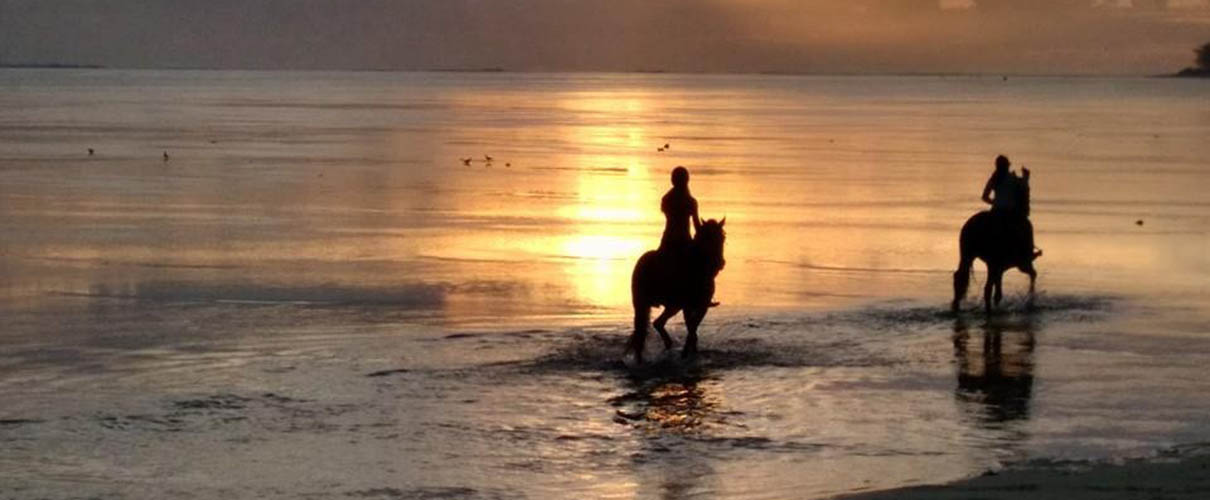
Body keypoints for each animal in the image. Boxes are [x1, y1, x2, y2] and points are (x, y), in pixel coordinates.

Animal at [629, 216, 721, 360]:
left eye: (722, 238)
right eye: (707, 238)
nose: (720, 263)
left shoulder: (699, 306)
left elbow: (692, 328)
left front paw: (690, 351)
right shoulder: (693, 306)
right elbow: (692, 328)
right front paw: (686, 353)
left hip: (667, 306)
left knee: (654, 324)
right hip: (652, 304)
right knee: (646, 328)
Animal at [953, 171, 1040, 312]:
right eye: (1027, 188)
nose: (1028, 209)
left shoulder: (1000, 267)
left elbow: (998, 292)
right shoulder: (1021, 263)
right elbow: (1032, 275)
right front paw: (1030, 298)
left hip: (967, 255)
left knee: (960, 277)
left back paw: (956, 306)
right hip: (997, 262)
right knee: (987, 288)